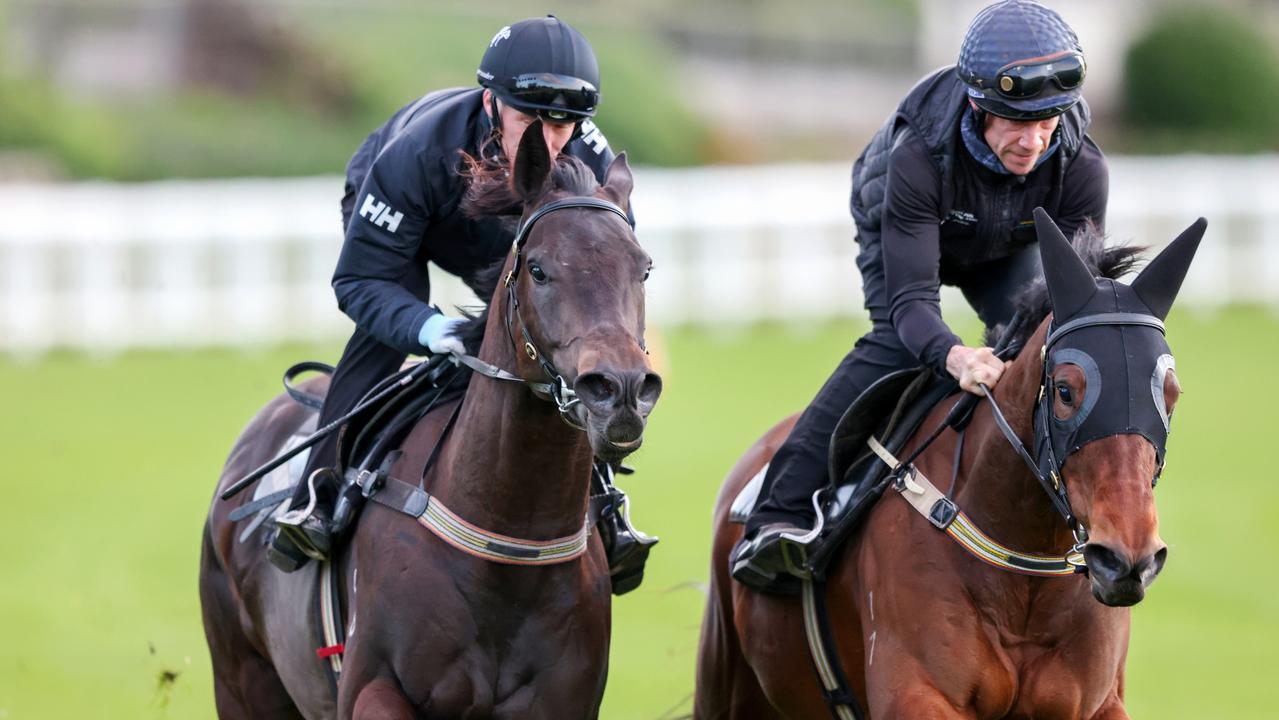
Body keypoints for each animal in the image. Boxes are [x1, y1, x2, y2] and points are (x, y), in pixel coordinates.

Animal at [202, 120, 659, 716]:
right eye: (538, 269)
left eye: (643, 268)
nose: (620, 390)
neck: (508, 540)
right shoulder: (371, 688)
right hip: (241, 678)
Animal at [695, 209, 1202, 720]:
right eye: (1065, 390)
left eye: (1172, 395)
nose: (1127, 559)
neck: (1023, 575)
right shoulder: (917, 694)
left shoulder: (1097, 703)